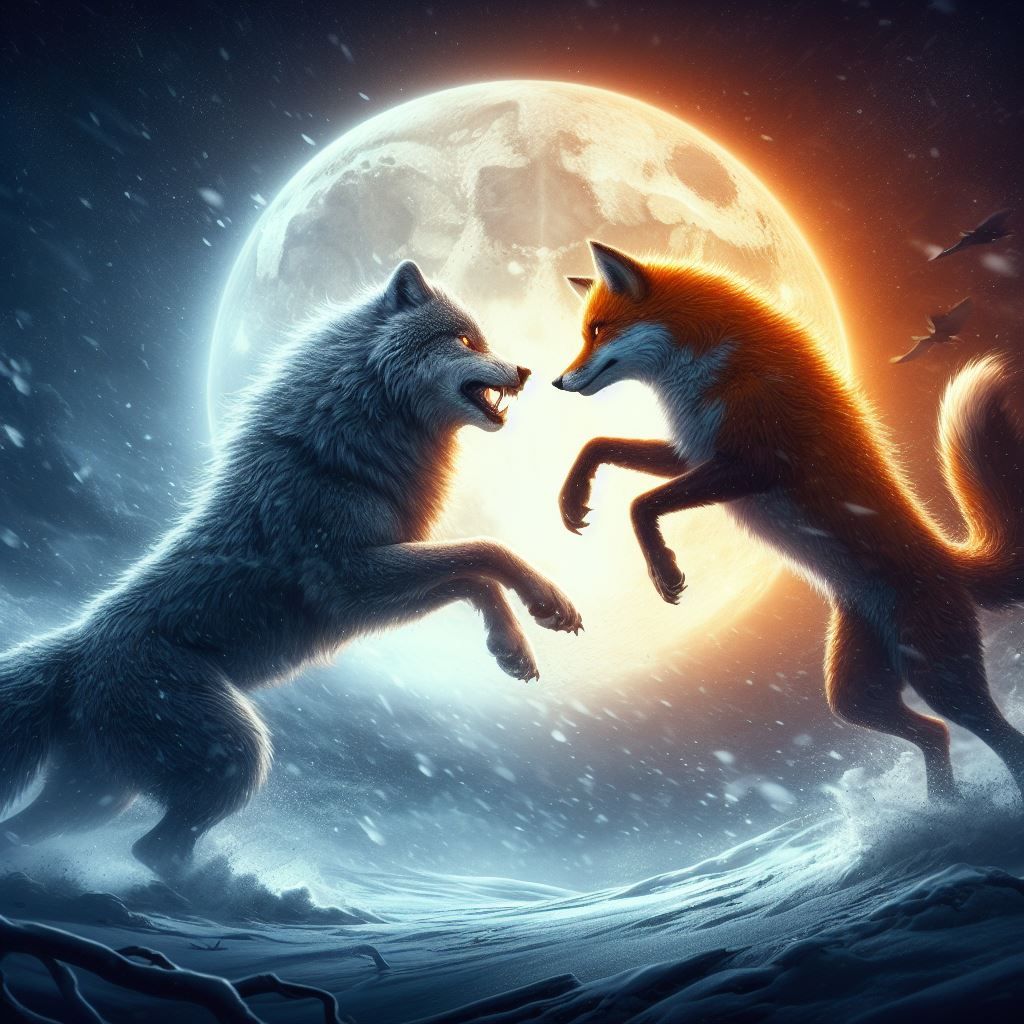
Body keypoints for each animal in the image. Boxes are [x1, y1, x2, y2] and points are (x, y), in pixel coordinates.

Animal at [0, 260, 581, 875]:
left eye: (484, 341)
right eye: (467, 341)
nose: (526, 370)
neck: (339, 453)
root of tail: (73, 649)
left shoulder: (365, 598)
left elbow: (473, 577)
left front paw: (513, 647)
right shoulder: (350, 582)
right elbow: (485, 552)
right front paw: (548, 605)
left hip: (101, 797)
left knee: (41, 836)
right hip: (237, 755)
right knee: (152, 849)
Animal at [554, 240, 1024, 802]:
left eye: (597, 329)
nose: (558, 381)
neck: (715, 366)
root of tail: (945, 558)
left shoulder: (756, 465)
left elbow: (641, 504)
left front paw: (664, 572)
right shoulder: (693, 453)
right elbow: (598, 446)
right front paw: (572, 501)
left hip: (941, 678)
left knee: (998, 736)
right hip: (854, 693)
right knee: (936, 732)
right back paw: (940, 810)